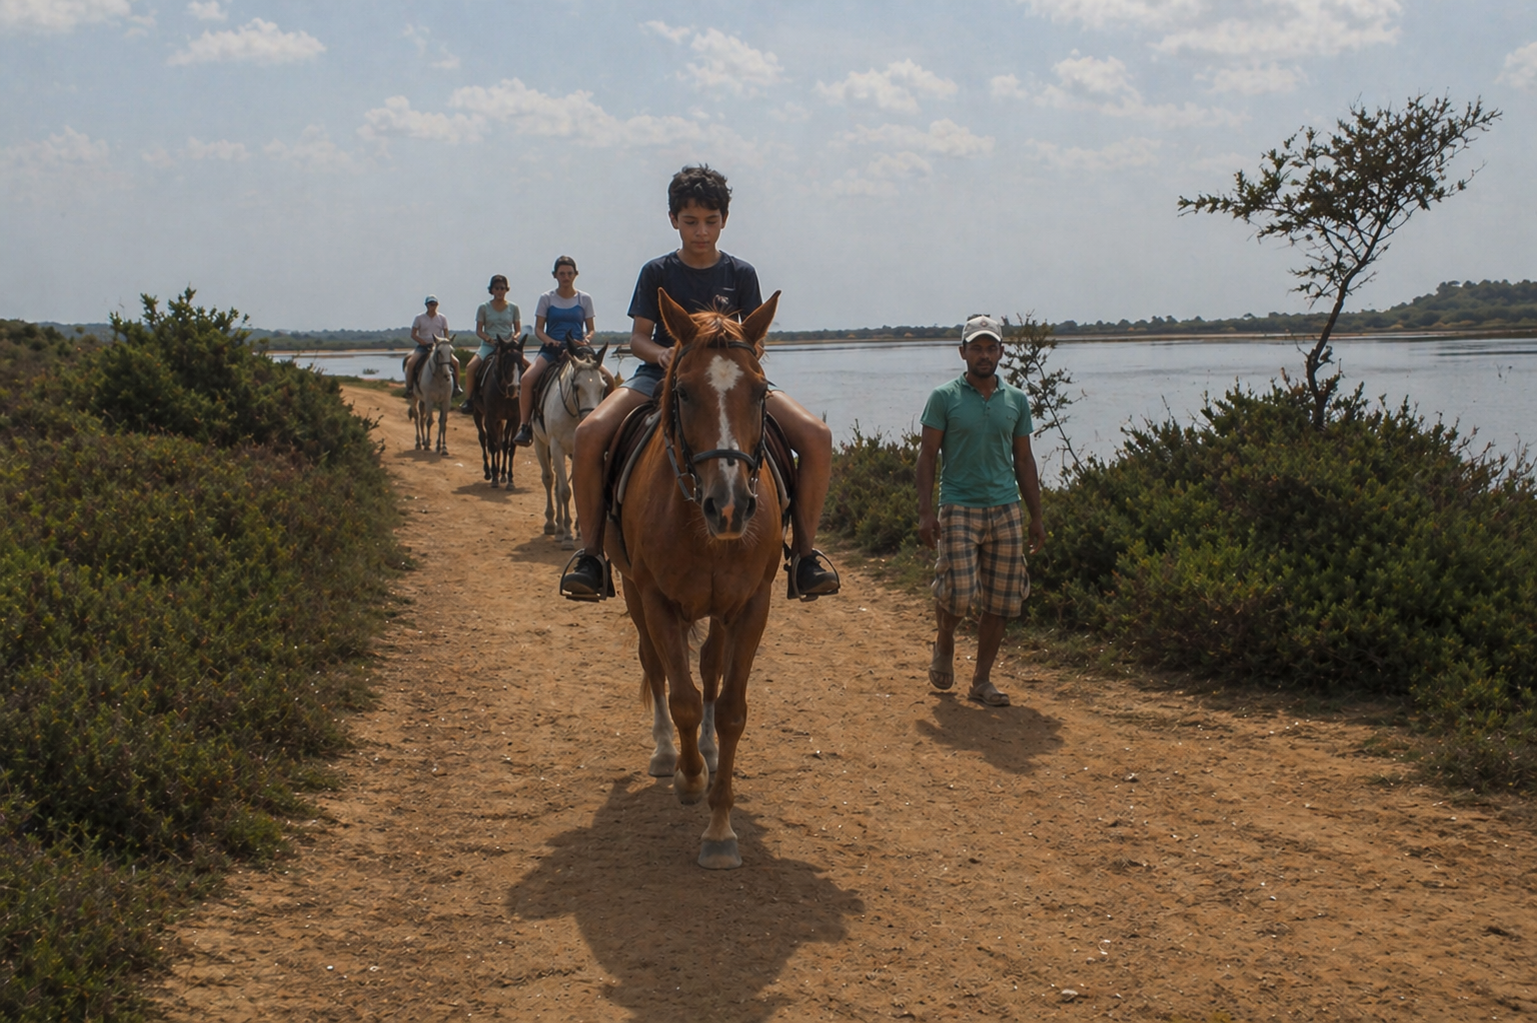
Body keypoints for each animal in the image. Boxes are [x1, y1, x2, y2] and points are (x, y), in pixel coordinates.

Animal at [472, 334, 523, 487]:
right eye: (505, 361)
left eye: (521, 362)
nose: (514, 389)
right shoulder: (491, 418)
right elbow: (494, 445)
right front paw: (494, 476)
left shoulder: (514, 419)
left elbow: (509, 445)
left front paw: (509, 477)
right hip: (478, 414)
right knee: (484, 439)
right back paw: (488, 472)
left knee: (500, 442)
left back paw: (501, 473)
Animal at [533, 340, 610, 548]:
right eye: (576, 386)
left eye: (603, 386)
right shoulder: (557, 447)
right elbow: (565, 491)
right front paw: (567, 535)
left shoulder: (578, 452)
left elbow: (576, 489)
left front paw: (580, 532)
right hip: (540, 443)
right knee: (549, 479)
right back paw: (554, 525)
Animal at [607, 288, 783, 870]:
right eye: (682, 391)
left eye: (760, 390)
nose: (728, 507)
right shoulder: (656, 599)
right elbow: (680, 693)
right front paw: (688, 780)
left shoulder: (750, 606)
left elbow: (729, 709)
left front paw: (721, 829)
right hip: (633, 593)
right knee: (655, 666)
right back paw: (669, 753)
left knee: (708, 667)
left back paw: (702, 750)